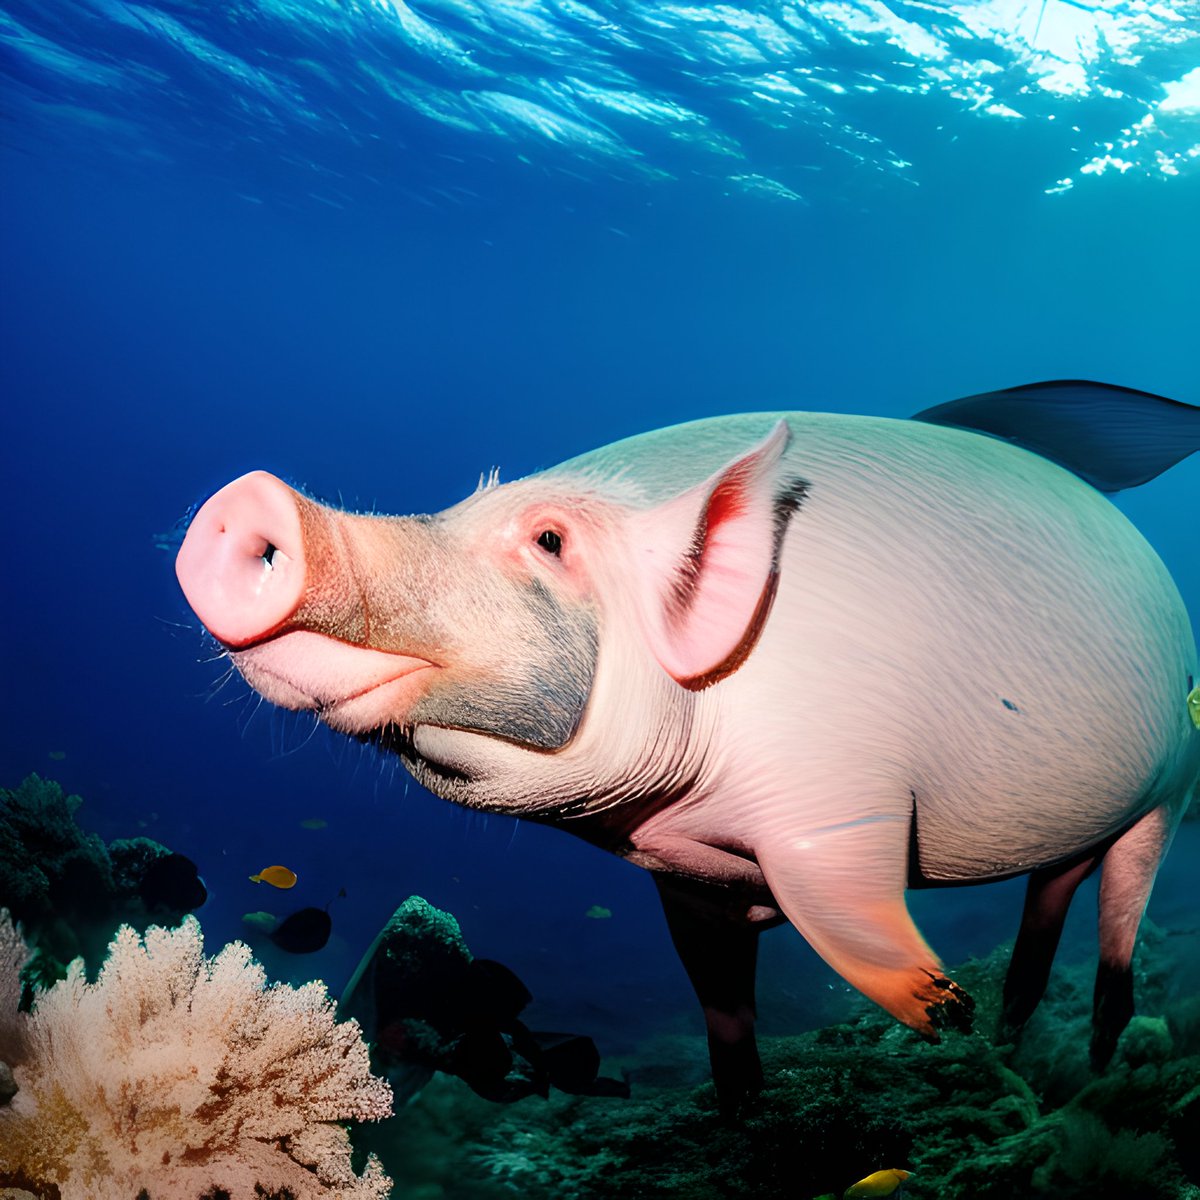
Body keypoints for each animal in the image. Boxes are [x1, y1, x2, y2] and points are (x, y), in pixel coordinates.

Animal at [176, 380, 1200, 1111]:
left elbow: (848, 916)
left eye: (549, 539)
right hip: (1082, 830)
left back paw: (1084, 1054)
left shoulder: (839, 796)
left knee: (1122, 914)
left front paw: (945, 1015)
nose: (249, 496)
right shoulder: (681, 873)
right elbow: (717, 995)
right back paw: (1017, 1035)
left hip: (1174, 782)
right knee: (1053, 894)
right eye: (469, 503)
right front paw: (744, 1109)